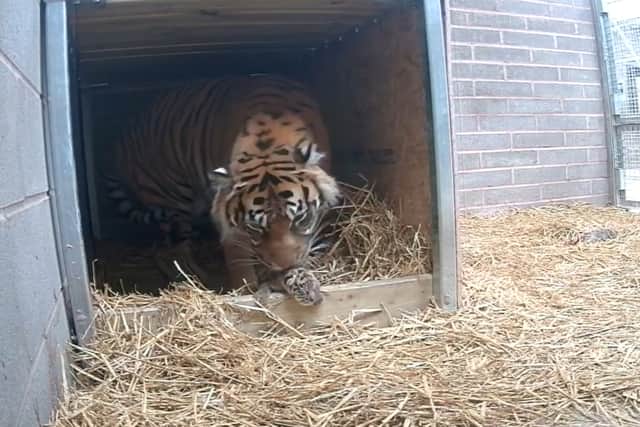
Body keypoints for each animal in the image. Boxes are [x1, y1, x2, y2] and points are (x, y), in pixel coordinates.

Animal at [105, 74, 341, 291]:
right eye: (255, 227)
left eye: (301, 218)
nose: (285, 267)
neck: (268, 144)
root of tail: (120, 142)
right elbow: (238, 257)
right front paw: (245, 288)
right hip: (172, 199)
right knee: (171, 252)